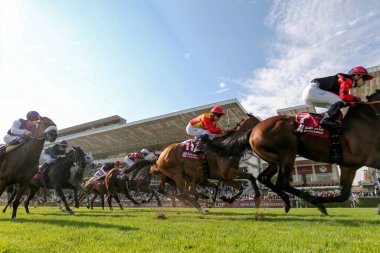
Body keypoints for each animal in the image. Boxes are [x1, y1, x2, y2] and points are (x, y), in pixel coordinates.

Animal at [205, 90, 380, 214]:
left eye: (241, 121)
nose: (234, 129)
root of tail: (254, 131)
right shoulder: (357, 161)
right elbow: (344, 194)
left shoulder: (353, 163)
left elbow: (344, 194)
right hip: (288, 154)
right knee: (280, 182)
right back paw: (311, 202)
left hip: (276, 160)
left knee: (265, 178)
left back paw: (290, 201)